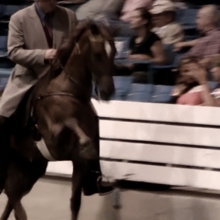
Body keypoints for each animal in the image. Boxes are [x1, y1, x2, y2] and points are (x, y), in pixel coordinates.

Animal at [0, 20, 117, 220]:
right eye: (97, 54)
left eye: (114, 52)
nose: (108, 92)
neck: (68, 92)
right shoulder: (54, 140)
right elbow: (71, 124)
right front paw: (87, 145)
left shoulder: (79, 163)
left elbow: (75, 203)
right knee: (11, 193)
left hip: (29, 168)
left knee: (12, 193)